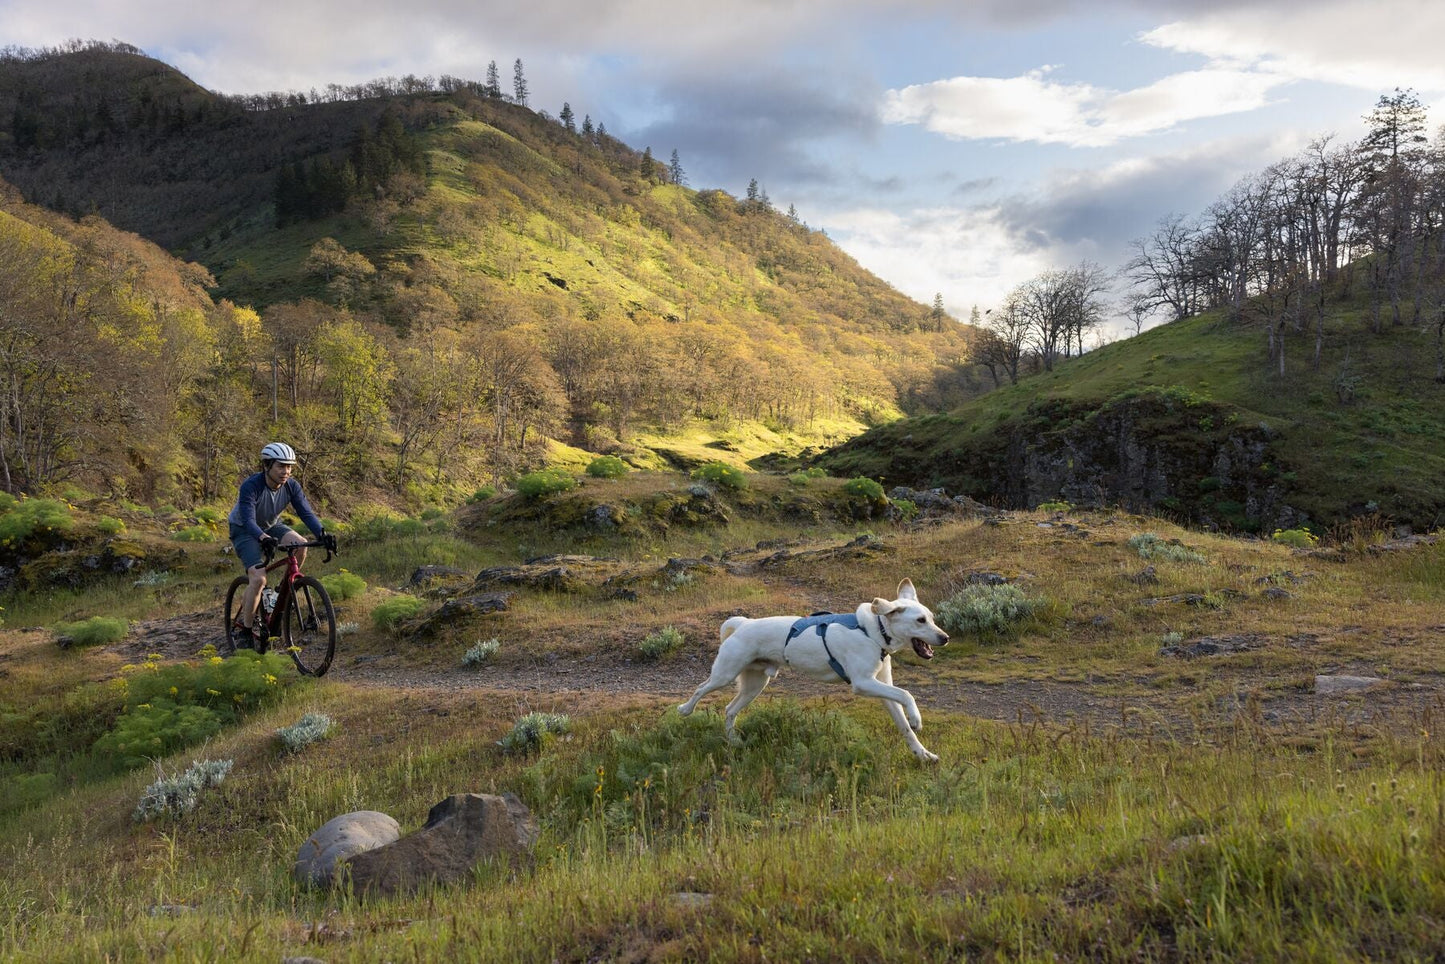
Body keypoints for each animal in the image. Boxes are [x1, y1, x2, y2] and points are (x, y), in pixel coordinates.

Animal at [682, 581, 953, 763]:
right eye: (920, 621)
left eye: (931, 618)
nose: (945, 638)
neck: (875, 631)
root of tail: (743, 623)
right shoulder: (863, 683)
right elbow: (907, 694)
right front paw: (917, 718)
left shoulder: (883, 689)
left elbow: (904, 724)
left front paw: (922, 753)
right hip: (725, 674)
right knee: (700, 688)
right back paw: (685, 709)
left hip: (755, 685)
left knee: (730, 710)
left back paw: (734, 742)